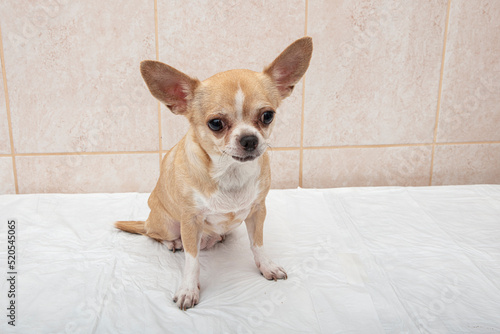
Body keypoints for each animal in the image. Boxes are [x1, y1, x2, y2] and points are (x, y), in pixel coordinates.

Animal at [116, 37, 312, 310]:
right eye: (216, 124)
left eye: (267, 116)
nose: (249, 139)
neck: (230, 172)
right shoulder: (190, 221)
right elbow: (192, 261)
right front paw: (189, 289)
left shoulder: (258, 211)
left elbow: (258, 244)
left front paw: (266, 266)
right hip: (167, 224)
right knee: (155, 235)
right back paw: (172, 242)